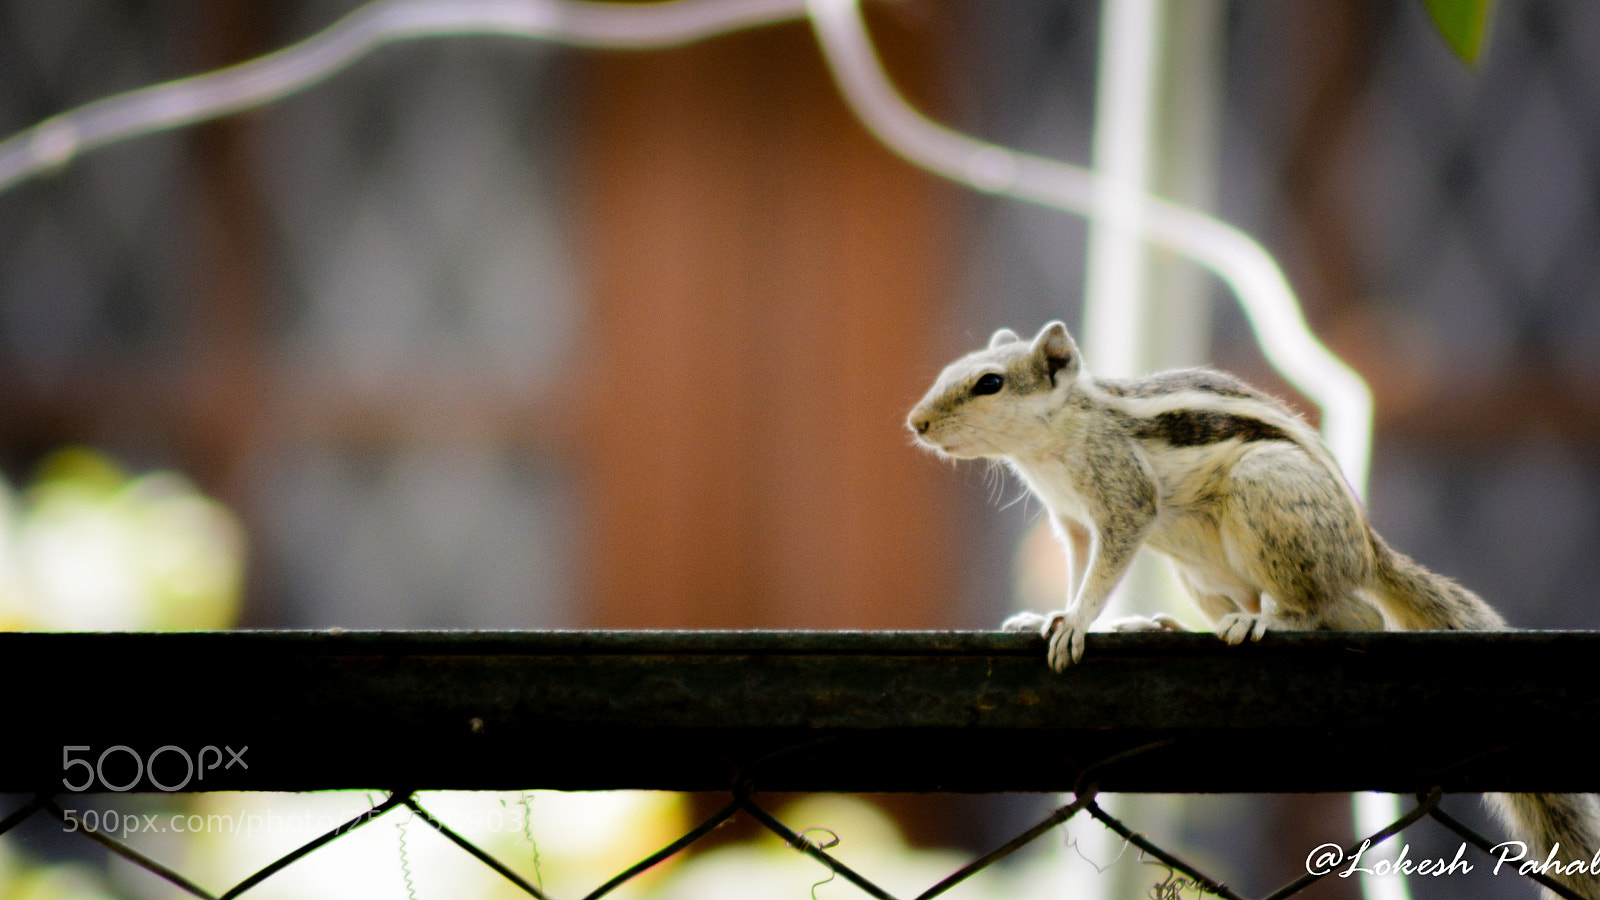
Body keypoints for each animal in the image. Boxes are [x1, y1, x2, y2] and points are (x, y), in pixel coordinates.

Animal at [908, 321, 1599, 900]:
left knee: (1345, 616)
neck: (1056, 438)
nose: (916, 423)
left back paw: (1264, 620)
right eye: (952, 372)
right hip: (1198, 573)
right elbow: (1081, 572)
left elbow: (1103, 573)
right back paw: (1168, 625)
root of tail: (1364, 549)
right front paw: (1049, 617)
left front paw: (1076, 623)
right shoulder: (1072, 523)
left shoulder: (1122, 504)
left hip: (1263, 490)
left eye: (989, 383)